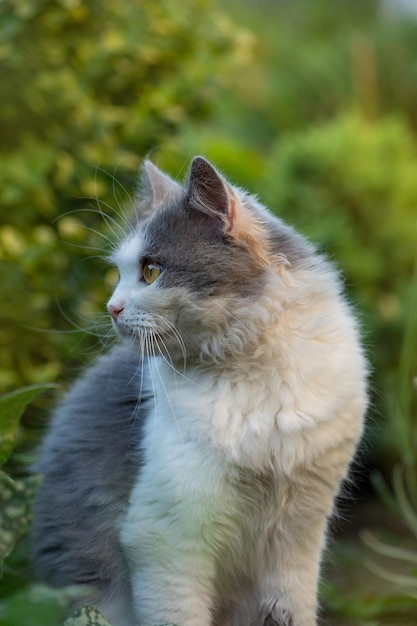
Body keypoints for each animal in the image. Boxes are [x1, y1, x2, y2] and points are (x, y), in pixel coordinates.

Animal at [31, 156, 368, 624]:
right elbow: (177, 613)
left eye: (151, 270)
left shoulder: (300, 532)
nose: (111, 307)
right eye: (117, 274)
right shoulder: (166, 536)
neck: (253, 377)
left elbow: (295, 607)